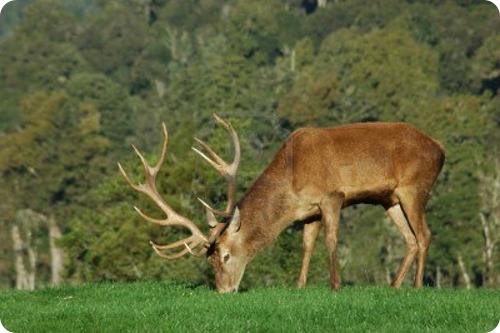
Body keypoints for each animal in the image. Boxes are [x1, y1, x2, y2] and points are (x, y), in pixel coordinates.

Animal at [118, 115, 446, 292]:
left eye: (225, 255)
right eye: (209, 261)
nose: (224, 290)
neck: (292, 183)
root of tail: (441, 148)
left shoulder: (332, 196)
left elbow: (331, 240)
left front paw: (335, 285)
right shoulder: (309, 212)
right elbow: (307, 245)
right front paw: (299, 286)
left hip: (415, 187)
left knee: (425, 234)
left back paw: (417, 286)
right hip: (389, 199)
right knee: (410, 239)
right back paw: (394, 286)